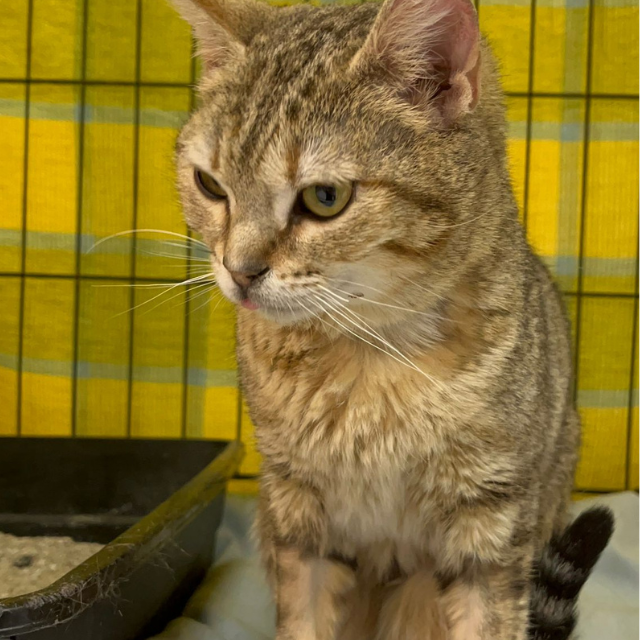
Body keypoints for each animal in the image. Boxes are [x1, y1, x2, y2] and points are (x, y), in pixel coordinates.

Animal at [171, 0, 614, 637]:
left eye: (325, 197)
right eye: (210, 184)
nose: (239, 270)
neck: (371, 358)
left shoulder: (492, 520)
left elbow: (489, 617)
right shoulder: (296, 507)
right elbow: (303, 615)